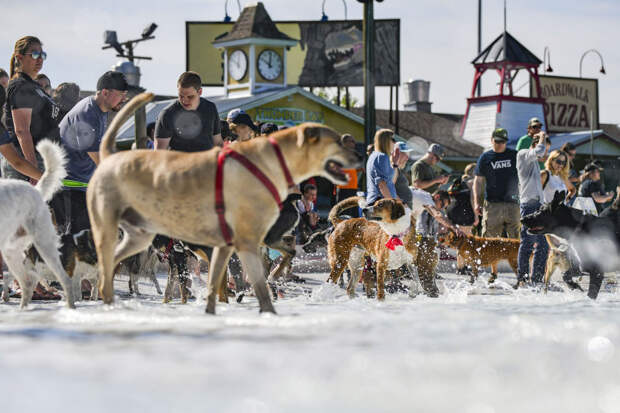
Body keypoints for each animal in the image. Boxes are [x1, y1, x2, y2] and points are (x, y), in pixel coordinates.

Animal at [0, 140, 75, 308]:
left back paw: (71, 308)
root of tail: (36, 190)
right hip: (11, 252)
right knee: (27, 282)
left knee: (65, 280)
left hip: (45, 247)